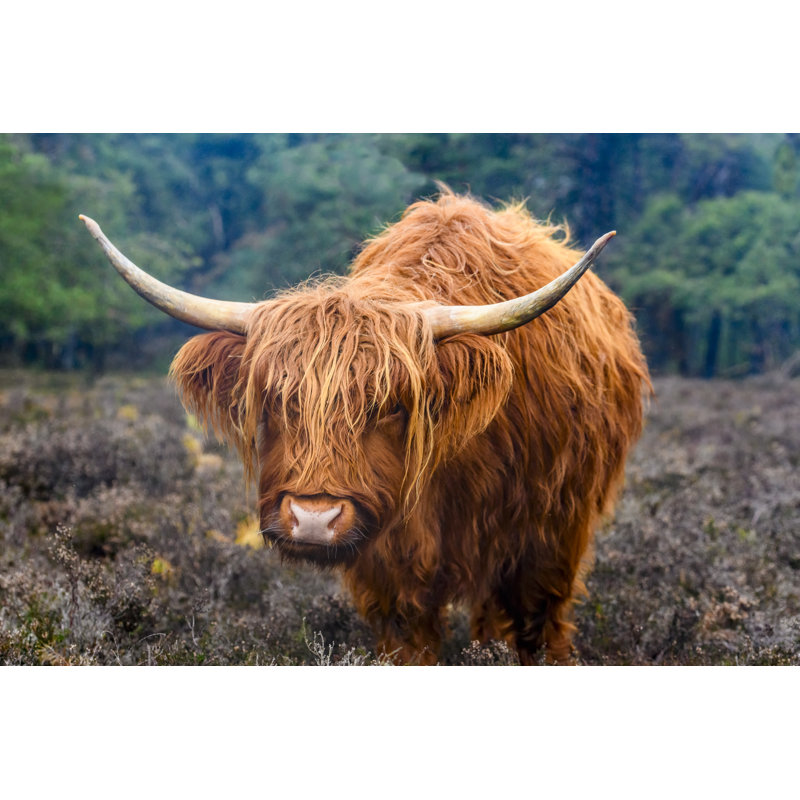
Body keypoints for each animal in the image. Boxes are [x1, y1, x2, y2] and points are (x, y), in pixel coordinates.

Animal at [80, 190, 650, 664]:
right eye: (277, 400)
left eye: (391, 405)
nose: (313, 519)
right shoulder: (390, 573)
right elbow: (409, 645)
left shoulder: (542, 542)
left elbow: (535, 629)